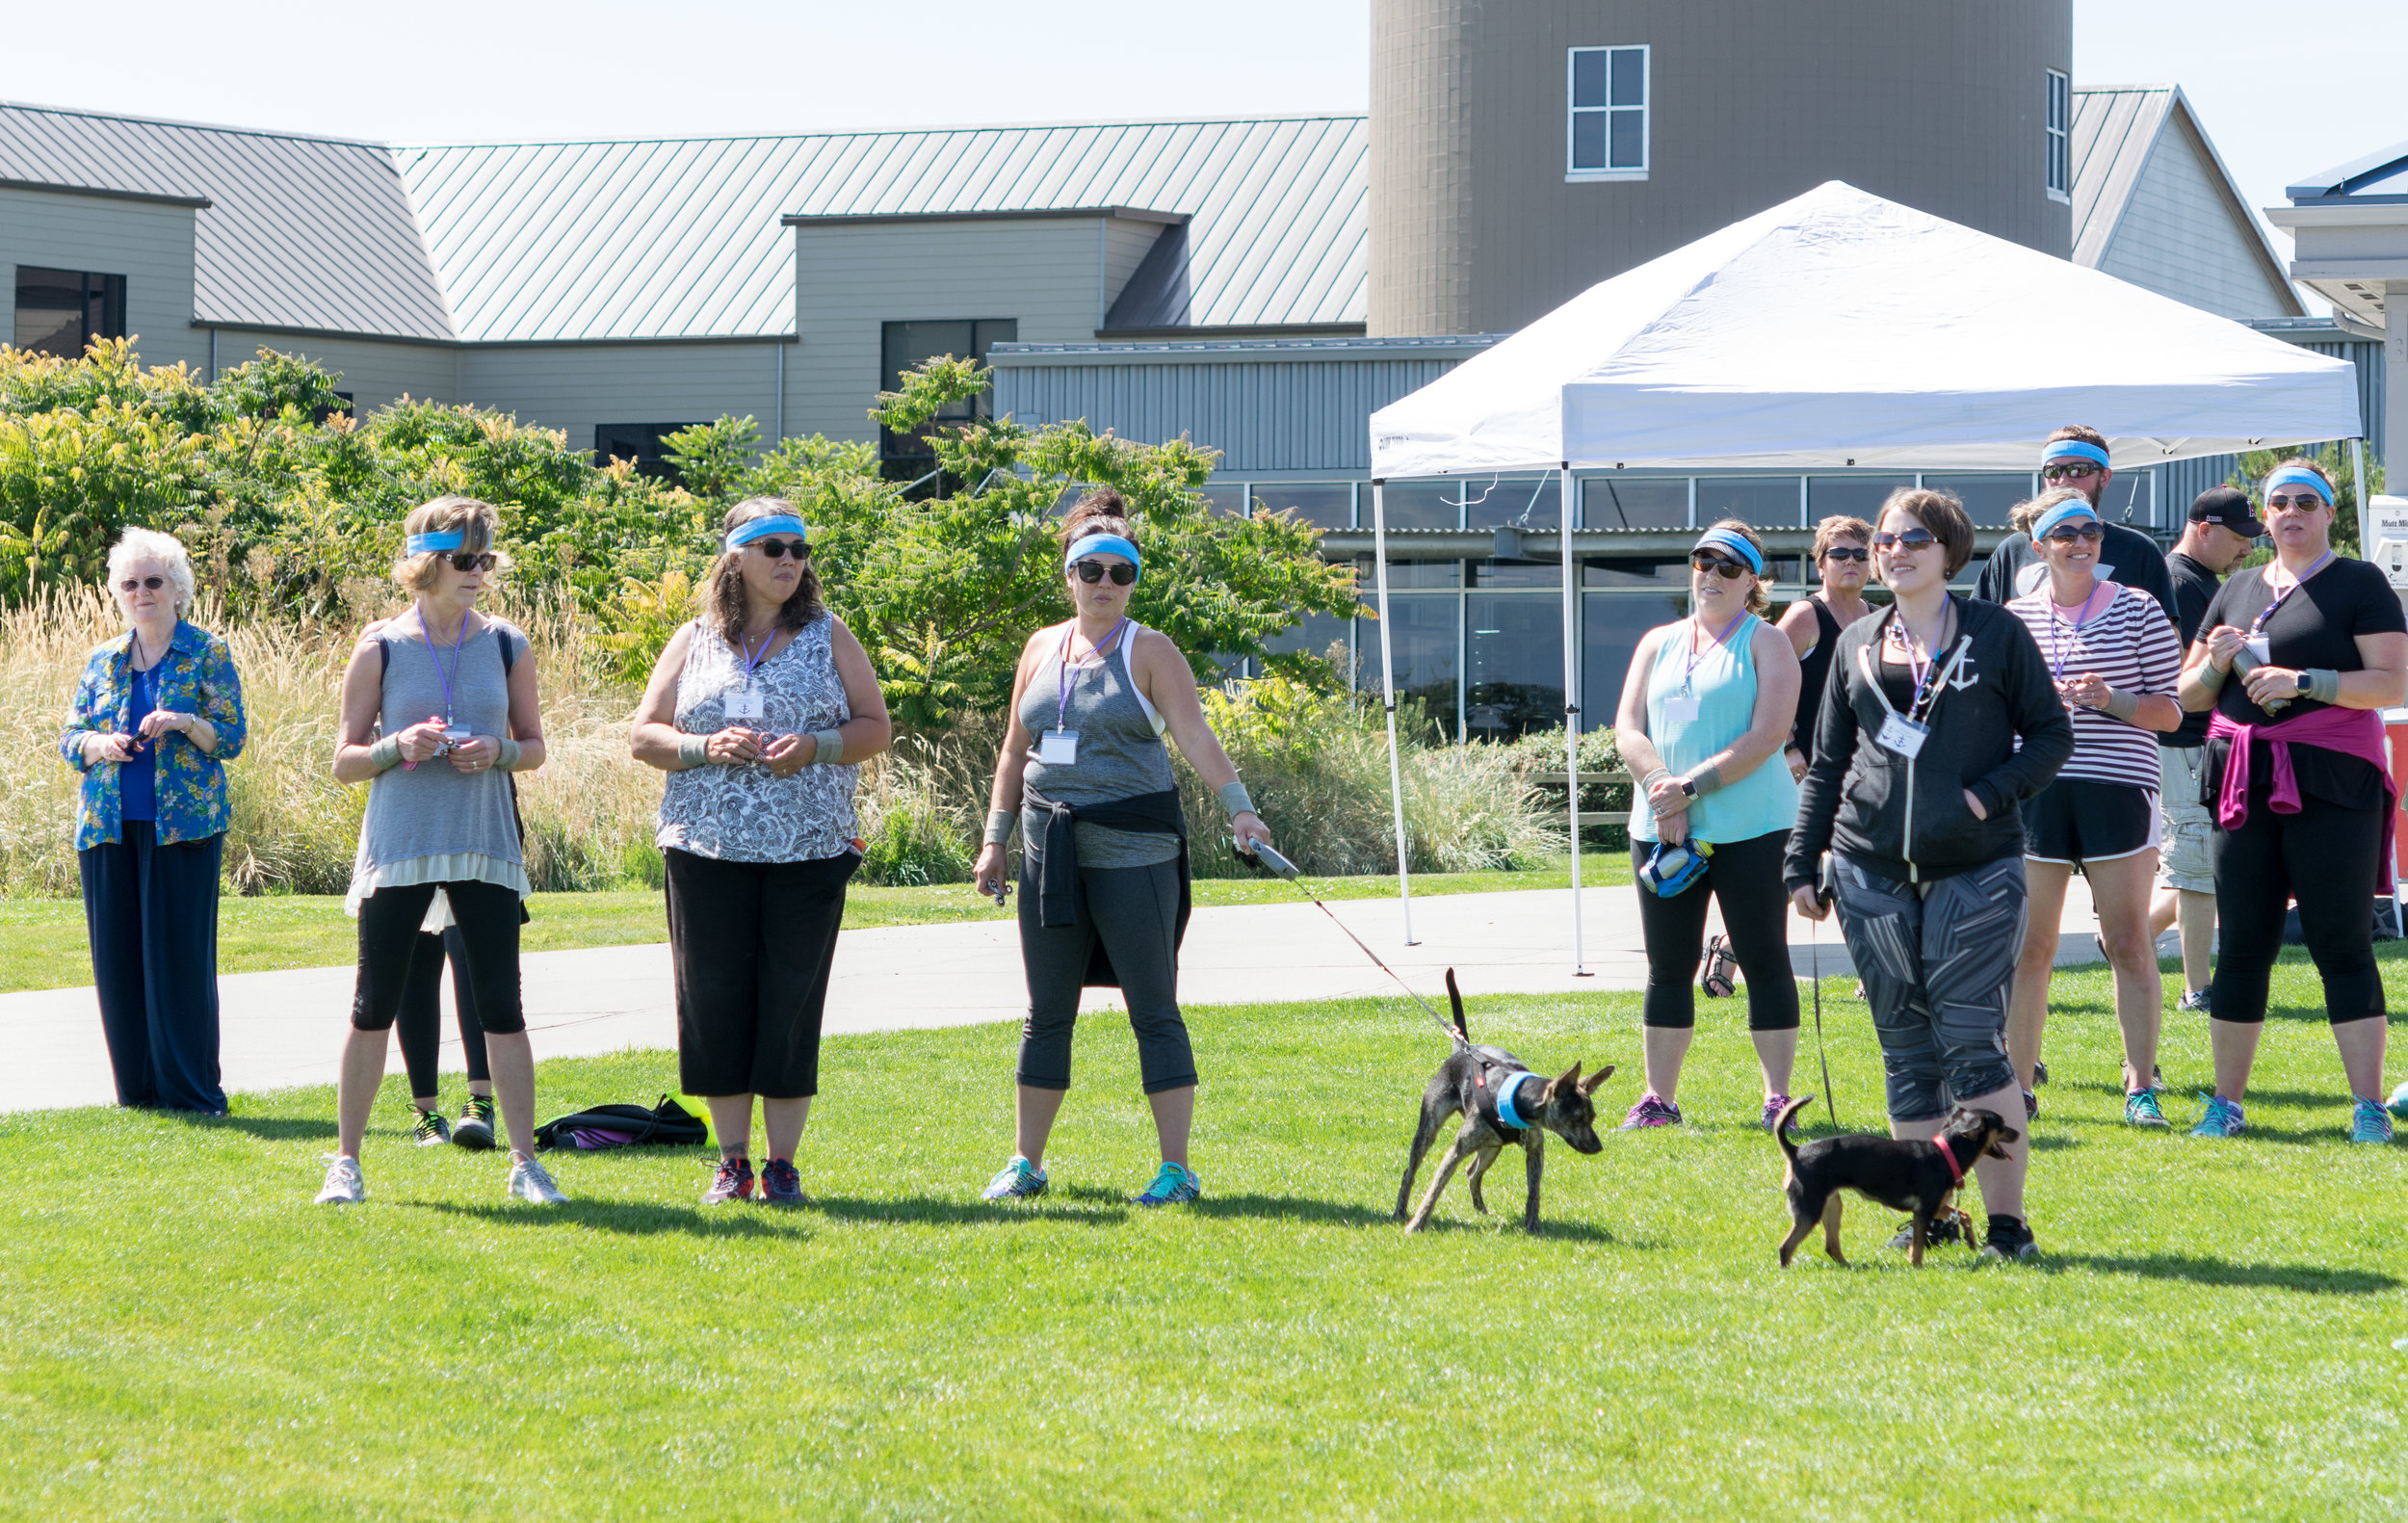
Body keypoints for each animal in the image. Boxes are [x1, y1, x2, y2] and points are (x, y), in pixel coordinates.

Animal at [1397, 973, 1618, 1233]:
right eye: (1576, 1118)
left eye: (1592, 1118)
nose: (1597, 1147)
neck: (1518, 1100)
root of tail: (1462, 1048)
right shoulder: (1457, 1150)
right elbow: (1434, 1189)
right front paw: (1416, 1224)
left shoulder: (1535, 1149)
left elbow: (1534, 1193)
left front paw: (1532, 1226)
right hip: (1430, 1129)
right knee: (1410, 1172)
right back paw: (1400, 1211)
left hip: (1492, 1145)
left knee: (1472, 1172)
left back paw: (1481, 1210)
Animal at [1772, 1089, 2013, 1262]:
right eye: (2002, 1125)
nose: (2018, 1133)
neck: (1946, 1154)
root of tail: (1796, 1151)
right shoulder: (1924, 1211)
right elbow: (1917, 1248)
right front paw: (1916, 1268)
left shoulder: (1935, 1207)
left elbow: (1963, 1214)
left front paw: (1971, 1240)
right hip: (1809, 1211)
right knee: (1786, 1247)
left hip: (1831, 1206)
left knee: (1831, 1247)